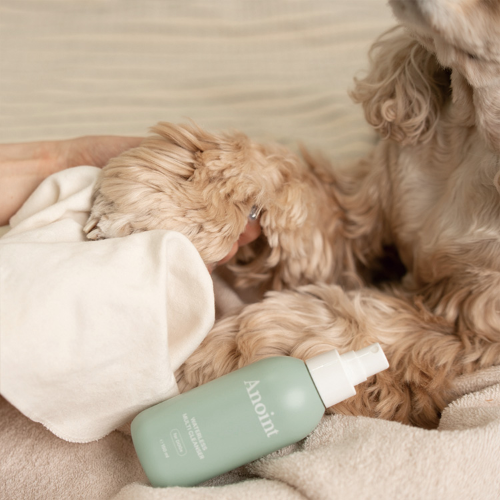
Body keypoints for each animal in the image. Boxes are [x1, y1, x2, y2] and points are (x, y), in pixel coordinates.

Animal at [85, 0, 500, 429]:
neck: (473, 143)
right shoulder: (360, 210)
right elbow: (288, 179)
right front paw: (166, 200)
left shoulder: (466, 319)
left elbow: (370, 327)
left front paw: (229, 355)